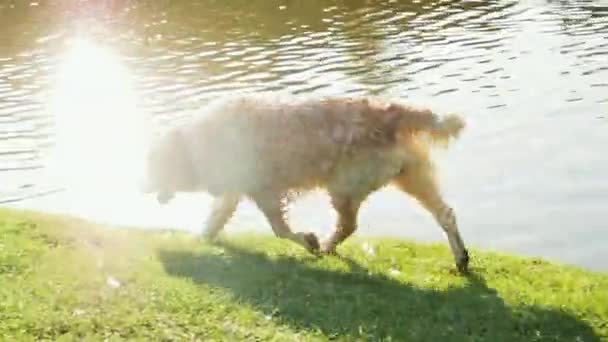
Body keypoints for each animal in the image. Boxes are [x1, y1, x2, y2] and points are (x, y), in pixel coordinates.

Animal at [142, 93, 470, 272]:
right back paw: (461, 258)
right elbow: (215, 219)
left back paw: (324, 246)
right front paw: (199, 239)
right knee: (446, 214)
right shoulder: (235, 189)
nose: (139, 185)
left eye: (152, 165)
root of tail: (389, 111)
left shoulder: (265, 190)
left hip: (343, 188)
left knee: (347, 225)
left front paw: (308, 240)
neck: (199, 143)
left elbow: (280, 230)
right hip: (410, 175)